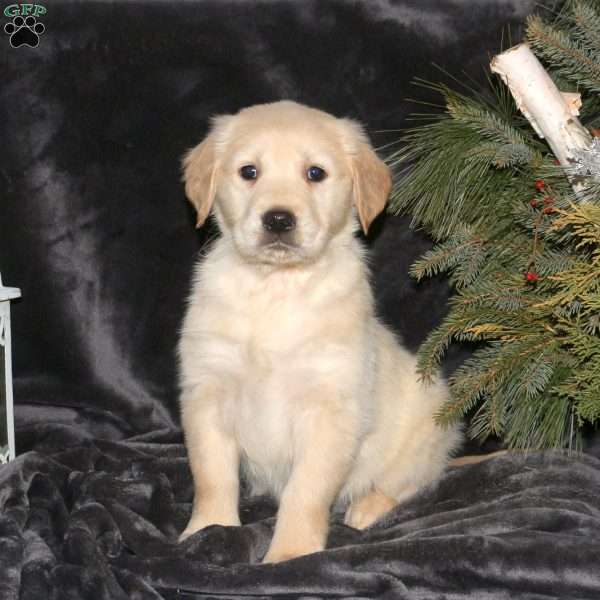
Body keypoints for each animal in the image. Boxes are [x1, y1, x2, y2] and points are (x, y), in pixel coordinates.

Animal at [176, 101, 462, 564]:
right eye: (249, 171)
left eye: (315, 173)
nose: (278, 219)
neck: (275, 287)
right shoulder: (207, 392)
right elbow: (212, 476)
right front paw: (208, 530)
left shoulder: (331, 410)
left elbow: (304, 492)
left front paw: (291, 553)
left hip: (427, 431)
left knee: (409, 484)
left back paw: (366, 508)